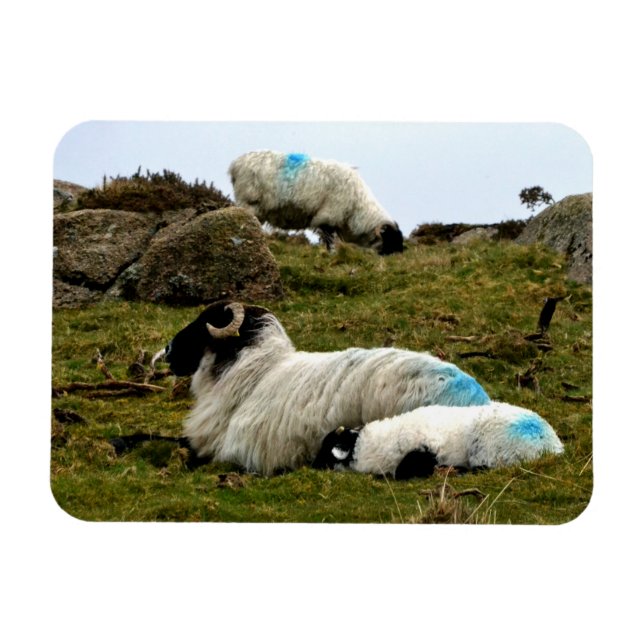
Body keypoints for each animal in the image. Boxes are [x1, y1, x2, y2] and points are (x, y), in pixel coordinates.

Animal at [228, 150, 404, 255]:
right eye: (391, 239)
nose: (399, 256)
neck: (357, 208)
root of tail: (236, 165)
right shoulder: (330, 216)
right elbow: (330, 240)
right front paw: (331, 255)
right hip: (249, 201)